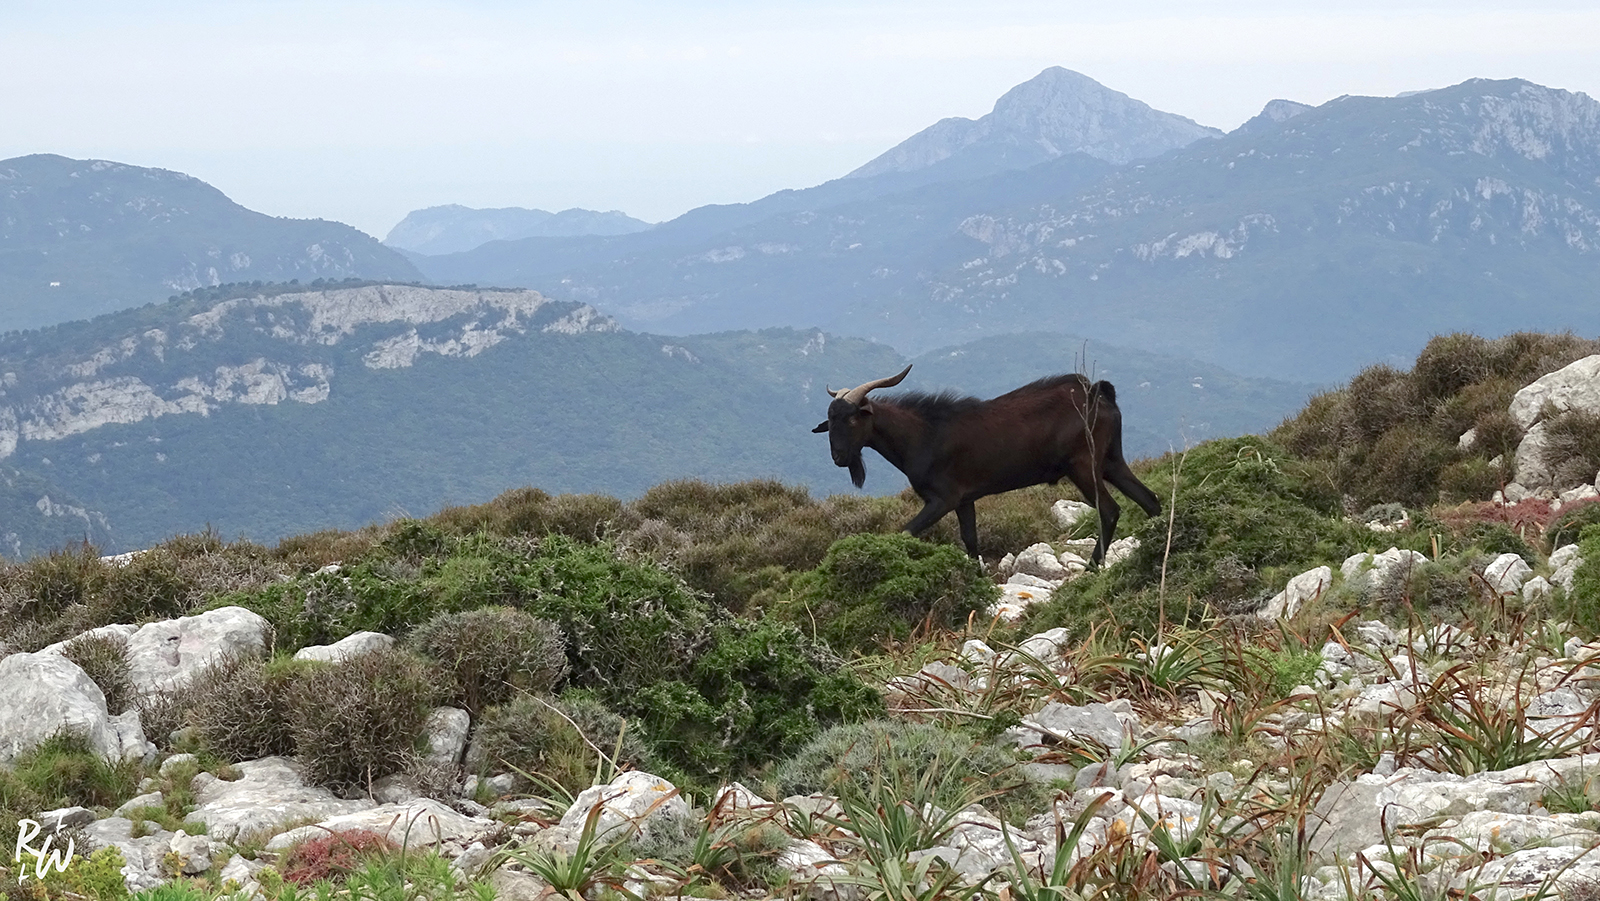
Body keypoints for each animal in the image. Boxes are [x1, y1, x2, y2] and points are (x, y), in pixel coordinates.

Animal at [812, 364, 1162, 564]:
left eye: (853, 419)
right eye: (830, 421)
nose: (838, 457)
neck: (923, 434)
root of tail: (1098, 394)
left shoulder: (942, 498)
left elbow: (905, 531)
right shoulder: (964, 500)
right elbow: (970, 540)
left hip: (1083, 464)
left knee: (1110, 510)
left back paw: (1093, 566)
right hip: (1111, 460)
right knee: (1149, 499)